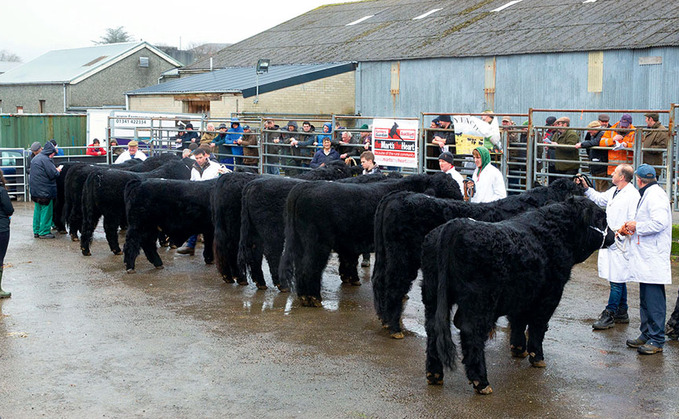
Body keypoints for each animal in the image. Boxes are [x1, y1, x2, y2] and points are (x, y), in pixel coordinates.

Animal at [280, 172, 462, 306]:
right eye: (447, 195)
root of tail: (304, 186)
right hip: (317, 244)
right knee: (310, 267)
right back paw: (313, 298)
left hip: (300, 242)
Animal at [372, 177, 584, 338]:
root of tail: (398, 195)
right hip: (402, 259)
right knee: (394, 285)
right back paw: (395, 328)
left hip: (387, 255)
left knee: (379, 280)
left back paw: (384, 318)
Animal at [422, 199, 612, 396]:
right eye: (601, 219)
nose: (613, 236)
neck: (554, 232)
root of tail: (457, 224)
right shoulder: (550, 294)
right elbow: (538, 325)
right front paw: (537, 357)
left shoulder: (522, 295)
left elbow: (518, 321)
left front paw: (518, 349)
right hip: (479, 301)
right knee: (471, 332)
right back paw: (481, 382)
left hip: (431, 295)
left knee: (432, 328)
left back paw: (434, 374)